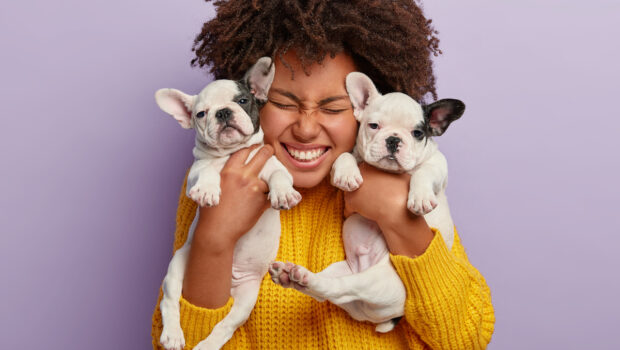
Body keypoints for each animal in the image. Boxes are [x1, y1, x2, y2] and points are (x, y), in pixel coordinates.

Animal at [154, 57, 300, 350]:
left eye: (243, 100)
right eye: (201, 114)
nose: (223, 112)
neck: (231, 155)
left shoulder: (274, 165)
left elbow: (280, 176)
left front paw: (283, 194)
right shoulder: (196, 172)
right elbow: (208, 172)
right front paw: (208, 190)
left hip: (247, 297)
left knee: (227, 324)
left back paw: (208, 344)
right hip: (178, 266)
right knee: (171, 301)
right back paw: (173, 334)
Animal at [268, 72, 462, 332]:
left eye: (418, 133)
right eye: (374, 126)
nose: (393, 140)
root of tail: (370, 315)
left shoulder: (438, 165)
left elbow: (424, 173)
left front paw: (420, 198)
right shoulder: (352, 154)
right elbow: (344, 155)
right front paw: (347, 174)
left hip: (379, 282)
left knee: (339, 289)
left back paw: (298, 278)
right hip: (342, 270)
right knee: (331, 290)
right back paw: (292, 276)